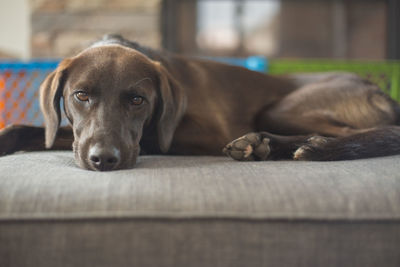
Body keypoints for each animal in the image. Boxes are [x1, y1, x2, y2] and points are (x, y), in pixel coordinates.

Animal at [0, 34, 400, 172]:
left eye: (137, 100)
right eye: (80, 96)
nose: (104, 160)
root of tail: (376, 88)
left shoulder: (197, 133)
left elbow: (149, 139)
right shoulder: (78, 136)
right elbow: (33, 129)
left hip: (281, 108)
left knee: (383, 132)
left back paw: (305, 147)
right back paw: (265, 145)